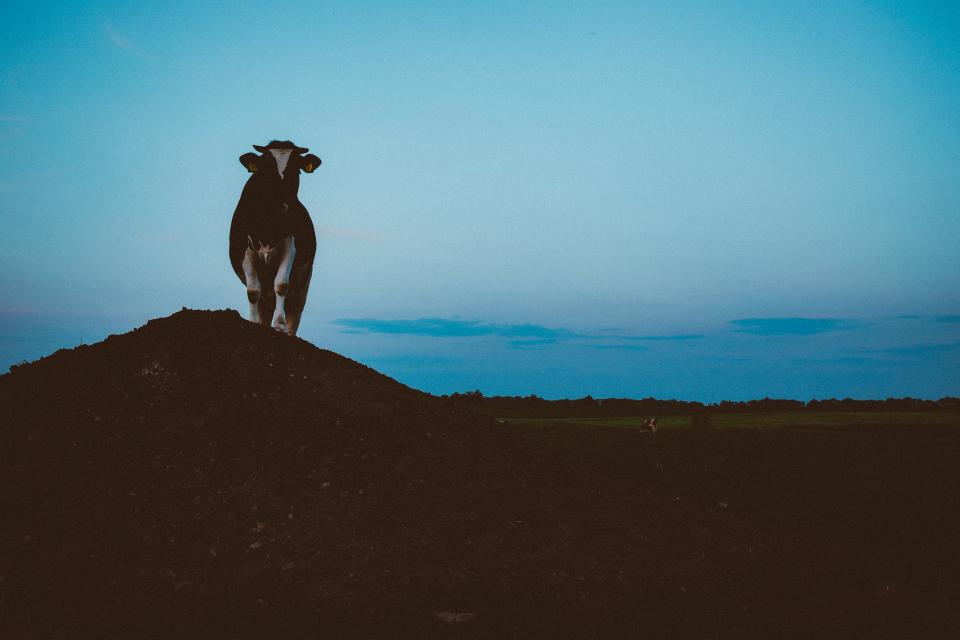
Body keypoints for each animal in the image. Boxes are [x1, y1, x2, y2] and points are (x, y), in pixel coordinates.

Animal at [229, 140, 321, 336]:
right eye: (266, 168)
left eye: (296, 169)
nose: (283, 203)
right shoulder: (245, 250)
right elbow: (252, 291)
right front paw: (252, 322)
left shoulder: (290, 246)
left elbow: (281, 285)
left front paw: (279, 324)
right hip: (267, 295)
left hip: (303, 284)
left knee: (295, 309)